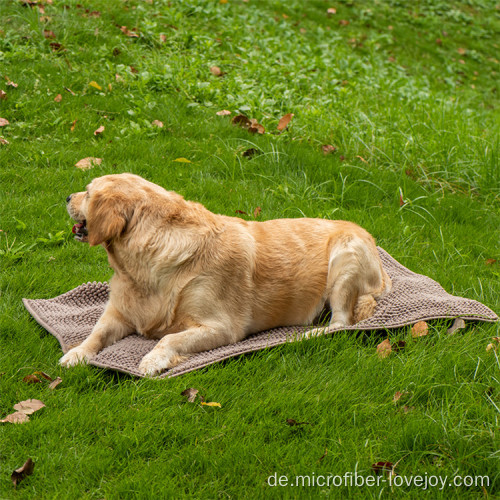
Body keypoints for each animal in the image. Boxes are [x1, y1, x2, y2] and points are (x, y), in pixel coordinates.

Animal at [60, 174, 392, 374]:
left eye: (87, 193)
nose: (66, 196)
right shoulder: (119, 311)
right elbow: (96, 332)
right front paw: (76, 353)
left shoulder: (222, 327)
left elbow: (168, 339)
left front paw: (152, 359)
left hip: (344, 259)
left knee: (342, 323)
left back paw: (310, 333)